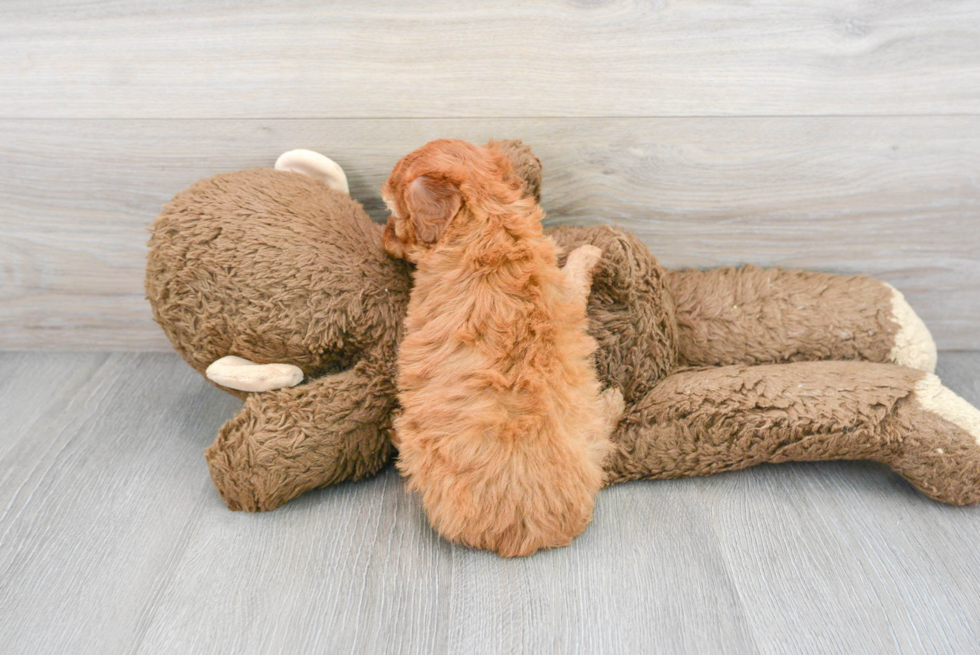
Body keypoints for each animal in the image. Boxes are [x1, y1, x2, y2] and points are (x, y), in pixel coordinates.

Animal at [378, 141, 624, 556]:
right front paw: (589, 251)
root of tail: (529, 538)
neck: (490, 218)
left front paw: (587, 251)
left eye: (395, 214)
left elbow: (575, 272)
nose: (381, 239)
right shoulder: (563, 294)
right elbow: (572, 280)